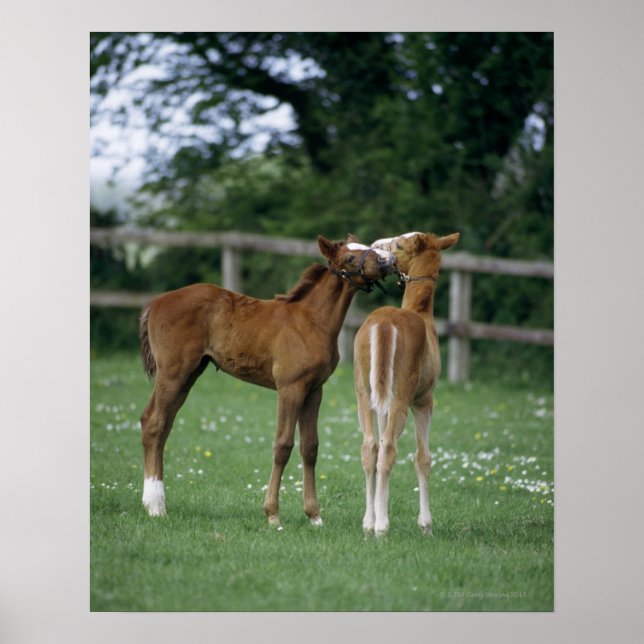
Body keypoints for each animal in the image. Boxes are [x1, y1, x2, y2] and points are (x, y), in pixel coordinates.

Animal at [138, 235, 397, 527]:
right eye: (351, 258)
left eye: (367, 247)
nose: (388, 259)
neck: (311, 321)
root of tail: (157, 302)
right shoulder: (290, 388)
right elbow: (283, 445)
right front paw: (273, 514)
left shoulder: (314, 390)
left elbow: (310, 447)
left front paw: (314, 516)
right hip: (173, 373)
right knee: (154, 422)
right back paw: (155, 506)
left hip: (189, 375)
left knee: (163, 426)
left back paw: (156, 501)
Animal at [353, 231, 460, 537]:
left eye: (399, 244)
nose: (376, 246)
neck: (420, 312)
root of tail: (383, 324)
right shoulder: (424, 400)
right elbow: (423, 457)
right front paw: (426, 525)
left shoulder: (383, 402)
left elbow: (377, 447)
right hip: (401, 397)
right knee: (389, 449)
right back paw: (382, 527)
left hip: (364, 392)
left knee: (370, 448)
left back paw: (369, 524)